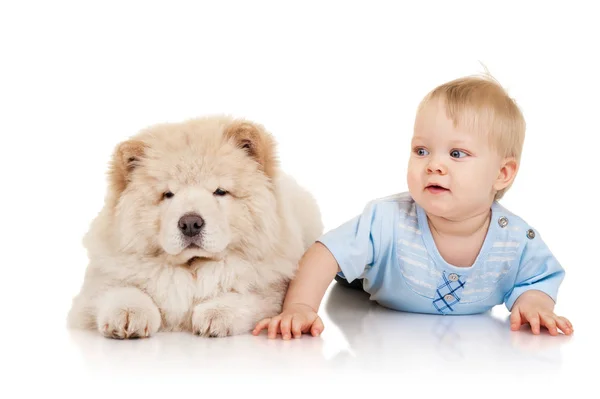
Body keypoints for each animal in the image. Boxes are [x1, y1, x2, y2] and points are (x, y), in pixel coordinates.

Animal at [65, 115, 324, 340]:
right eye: (168, 195)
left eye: (220, 191)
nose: (190, 223)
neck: (192, 268)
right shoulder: (98, 283)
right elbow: (120, 290)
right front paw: (128, 315)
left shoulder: (272, 288)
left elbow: (245, 295)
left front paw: (215, 315)